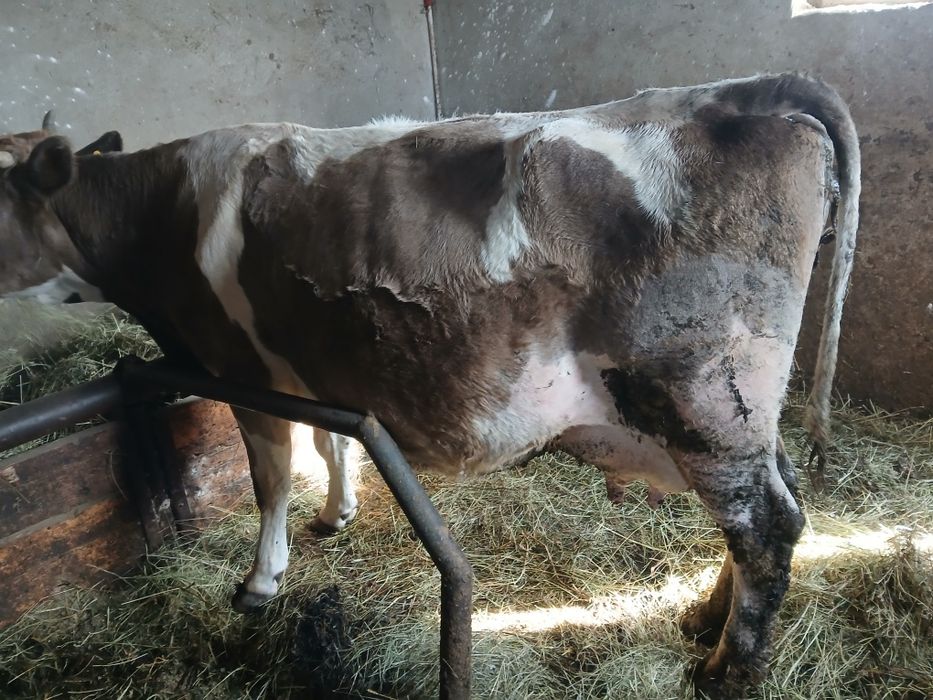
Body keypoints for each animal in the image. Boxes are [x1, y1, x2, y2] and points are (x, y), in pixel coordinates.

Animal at [0, 73, 859, 695]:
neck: (162, 211)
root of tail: (747, 89)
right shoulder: (314, 369)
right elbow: (329, 439)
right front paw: (337, 512)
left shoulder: (240, 371)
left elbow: (269, 478)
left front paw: (260, 582)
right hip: (737, 415)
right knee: (769, 507)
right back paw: (701, 618)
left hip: (704, 395)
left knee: (765, 527)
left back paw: (725, 670)